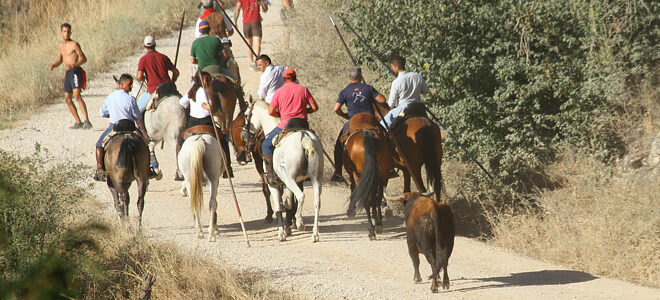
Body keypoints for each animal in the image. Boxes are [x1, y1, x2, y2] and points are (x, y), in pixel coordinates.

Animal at [245, 100, 322, 241]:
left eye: (246, 114)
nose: (245, 135)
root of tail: (304, 137)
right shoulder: (288, 184)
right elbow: (289, 204)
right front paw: (288, 228)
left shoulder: (274, 184)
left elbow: (279, 206)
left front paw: (282, 232)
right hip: (316, 179)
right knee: (317, 202)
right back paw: (315, 234)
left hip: (290, 179)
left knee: (301, 196)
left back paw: (300, 223)